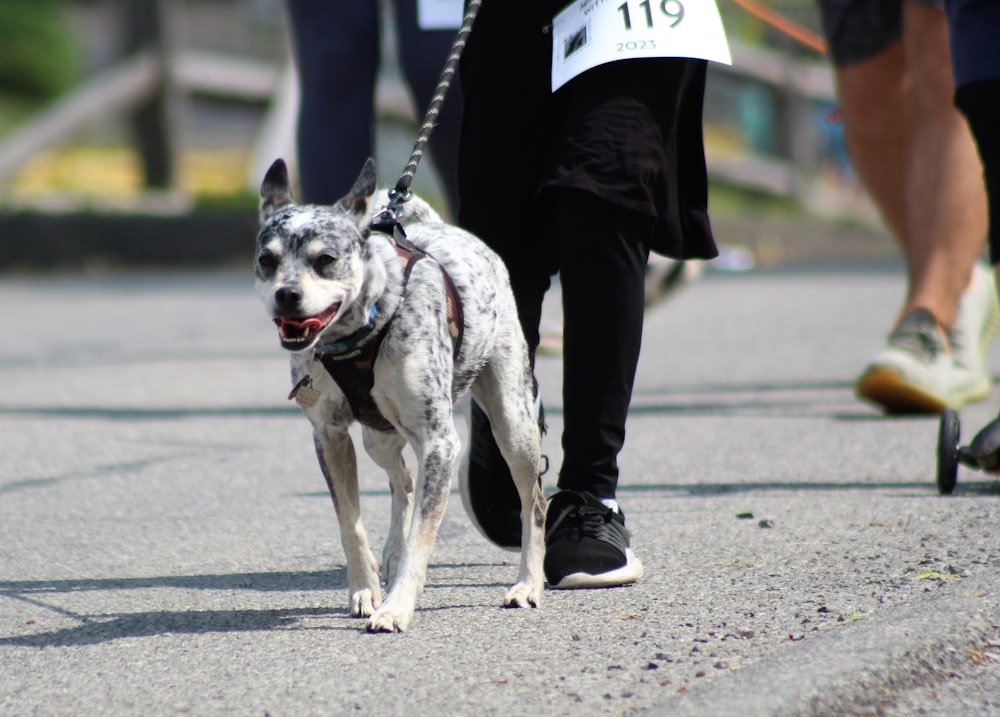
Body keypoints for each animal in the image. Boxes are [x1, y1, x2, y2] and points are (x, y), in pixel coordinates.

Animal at [254, 158, 544, 632]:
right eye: (267, 259)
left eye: (325, 259)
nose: (287, 294)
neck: (359, 334)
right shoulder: (329, 437)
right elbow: (350, 524)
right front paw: (365, 590)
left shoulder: (440, 443)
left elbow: (420, 539)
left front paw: (395, 607)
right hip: (378, 437)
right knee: (403, 481)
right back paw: (387, 555)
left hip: (513, 426)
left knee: (533, 503)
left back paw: (528, 584)